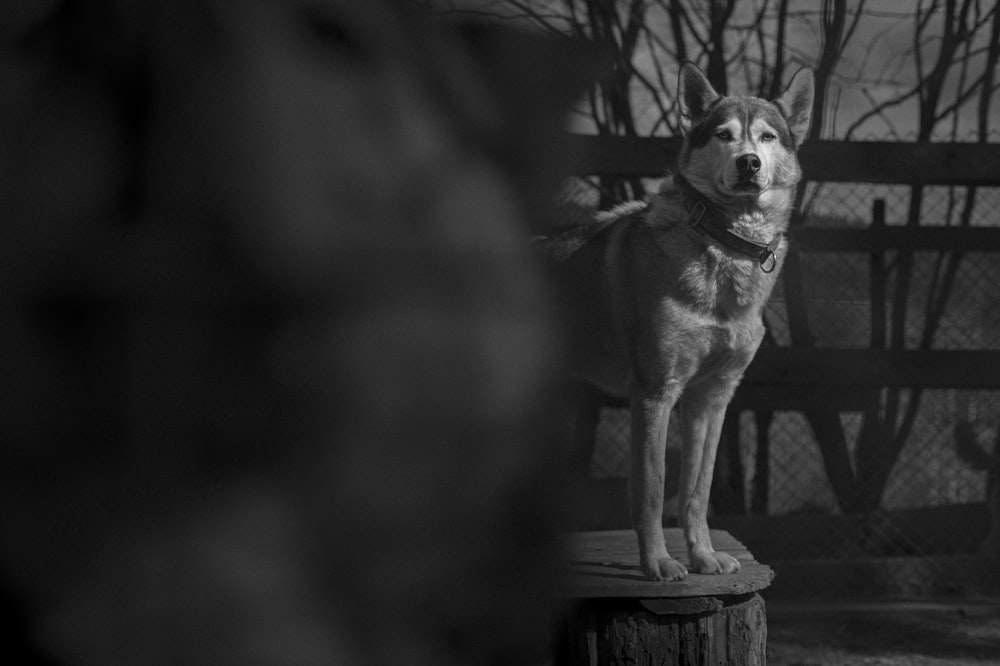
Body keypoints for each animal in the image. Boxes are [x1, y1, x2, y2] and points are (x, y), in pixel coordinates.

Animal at [548, 63, 812, 580]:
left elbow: (696, 491)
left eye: (768, 137)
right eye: (724, 135)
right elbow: (653, 489)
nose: (748, 163)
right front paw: (658, 564)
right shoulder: (656, 392)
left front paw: (704, 556)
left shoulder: (711, 398)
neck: (724, 247)